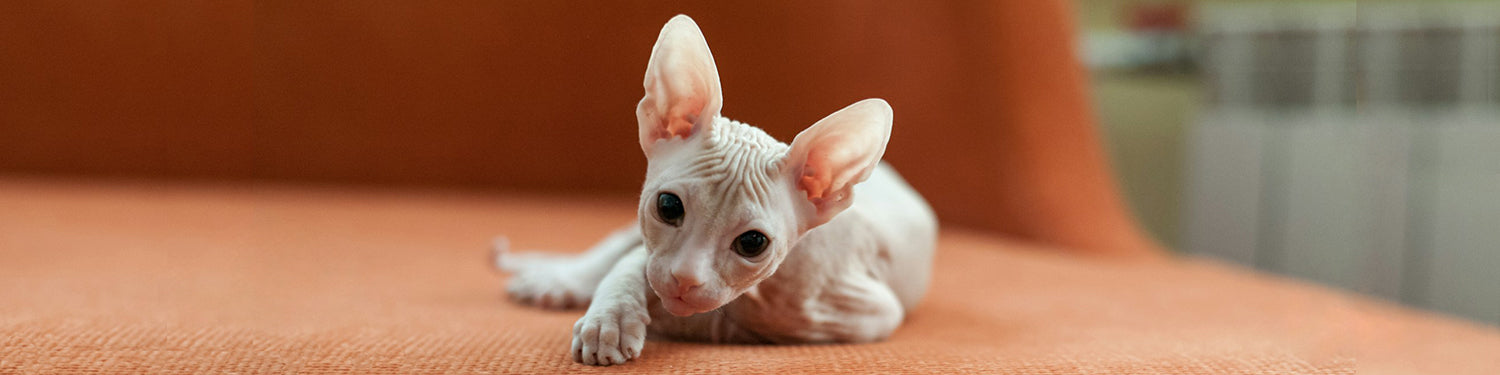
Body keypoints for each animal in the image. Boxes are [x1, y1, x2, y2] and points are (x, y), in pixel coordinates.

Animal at [492, 15, 936, 366]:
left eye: (753, 243)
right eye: (668, 206)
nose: (684, 279)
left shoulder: (867, 310)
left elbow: (737, 318)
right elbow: (634, 263)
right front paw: (611, 321)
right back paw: (560, 279)